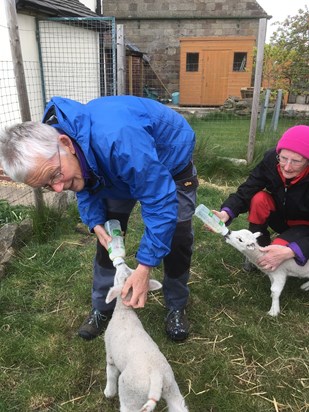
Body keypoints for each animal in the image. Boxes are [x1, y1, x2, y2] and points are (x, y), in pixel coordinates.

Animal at [103, 264, 188, 412]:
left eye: (122, 275)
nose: (121, 264)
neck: (124, 312)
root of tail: (157, 377)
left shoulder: (110, 352)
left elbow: (111, 372)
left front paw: (109, 392)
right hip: (171, 387)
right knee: (179, 406)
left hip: (131, 394)